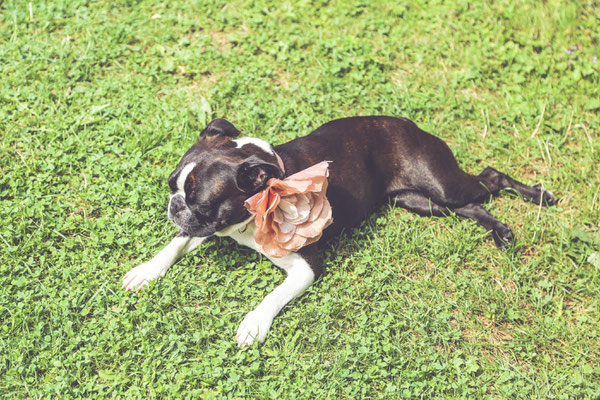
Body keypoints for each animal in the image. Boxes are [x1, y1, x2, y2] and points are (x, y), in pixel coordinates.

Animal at [122, 115, 556, 346]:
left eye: (202, 203)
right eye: (173, 186)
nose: (174, 206)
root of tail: (410, 124)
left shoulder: (305, 267)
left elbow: (274, 295)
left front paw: (254, 323)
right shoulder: (210, 229)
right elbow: (174, 244)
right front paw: (145, 271)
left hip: (441, 184)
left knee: (491, 178)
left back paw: (537, 197)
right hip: (418, 201)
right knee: (469, 206)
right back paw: (500, 230)